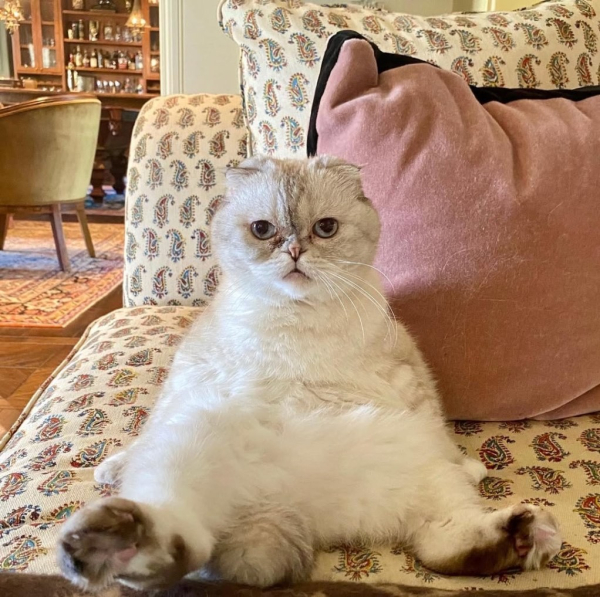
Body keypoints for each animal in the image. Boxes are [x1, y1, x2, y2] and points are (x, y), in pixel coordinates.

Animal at [58, 155, 560, 592]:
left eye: (325, 228)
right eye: (263, 230)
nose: (295, 251)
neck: (297, 324)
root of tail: (288, 505)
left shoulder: (410, 381)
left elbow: (439, 428)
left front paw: (472, 465)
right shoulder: (195, 380)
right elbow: (149, 428)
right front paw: (112, 466)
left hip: (427, 478)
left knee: (448, 546)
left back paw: (522, 536)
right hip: (195, 437)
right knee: (176, 538)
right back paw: (112, 541)